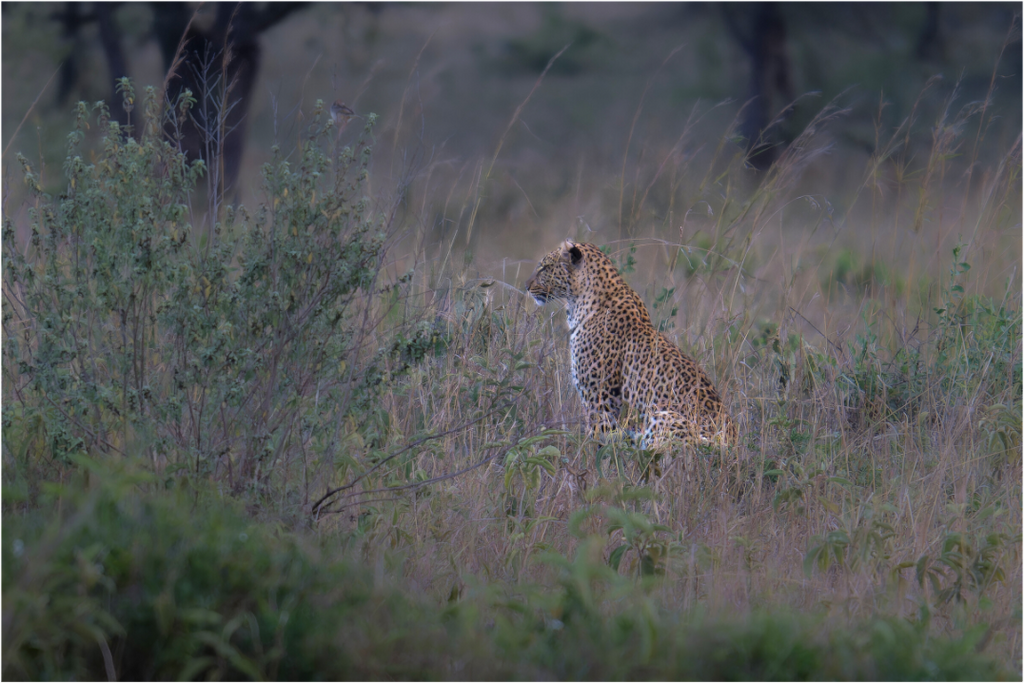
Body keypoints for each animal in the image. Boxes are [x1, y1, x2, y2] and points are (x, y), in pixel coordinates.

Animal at [525, 239, 737, 450]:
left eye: (545, 267)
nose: (526, 286)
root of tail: (731, 445)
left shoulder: (600, 400)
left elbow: (597, 442)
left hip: (663, 417)